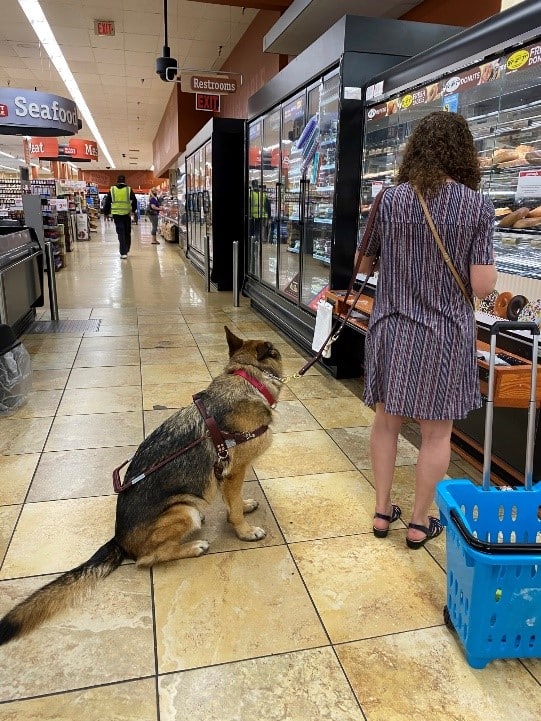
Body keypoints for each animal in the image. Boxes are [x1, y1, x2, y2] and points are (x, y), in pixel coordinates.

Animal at [1, 326, 282, 640]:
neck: (247, 377)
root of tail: (119, 539)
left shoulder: (226, 475)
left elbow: (232, 501)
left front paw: (244, 505)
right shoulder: (235, 472)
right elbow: (232, 508)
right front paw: (245, 530)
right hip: (185, 510)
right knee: (148, 559)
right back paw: (193, 547)